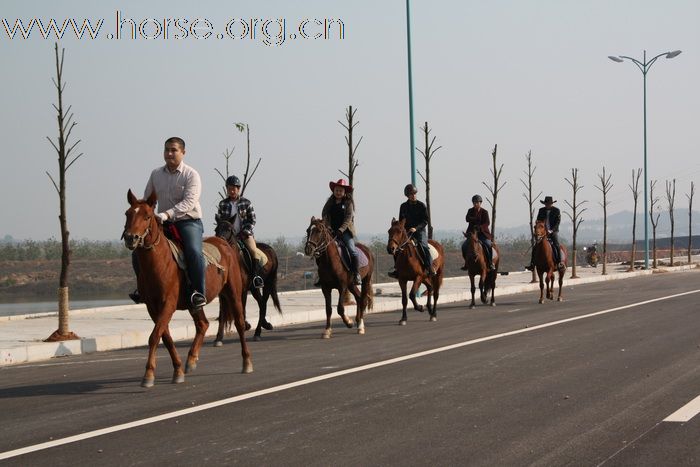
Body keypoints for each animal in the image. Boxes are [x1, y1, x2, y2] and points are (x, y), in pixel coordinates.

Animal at [122, 190, 252, 388]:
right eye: (128, 214)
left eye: (147, 216)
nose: (131, 237)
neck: (160, 263)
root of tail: (225, 243)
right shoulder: (152, 307)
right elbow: (165, 337)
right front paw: (178, 370)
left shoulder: (168, 304)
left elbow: (154, 336)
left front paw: (148, 375)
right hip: (195, 303)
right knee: (203, 324)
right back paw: (191, 360)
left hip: (234, 293)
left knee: (238, 323)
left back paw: (246, 362)